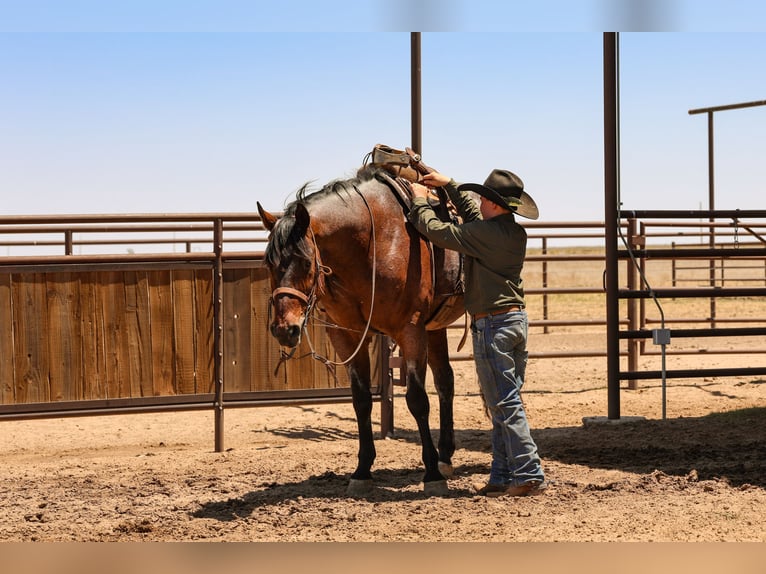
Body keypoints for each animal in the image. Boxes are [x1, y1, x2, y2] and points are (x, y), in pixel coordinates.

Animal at [256, 162, 465, 496]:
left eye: (305, 262)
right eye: (269, 263)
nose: (284, 329)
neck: (375, 240)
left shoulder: (410, 330)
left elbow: (417, 400)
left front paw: (431, 473)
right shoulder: (347, 334)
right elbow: (361, 400)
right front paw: (363, 470)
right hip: (435, 327)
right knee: (446, 381)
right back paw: (446, 456)